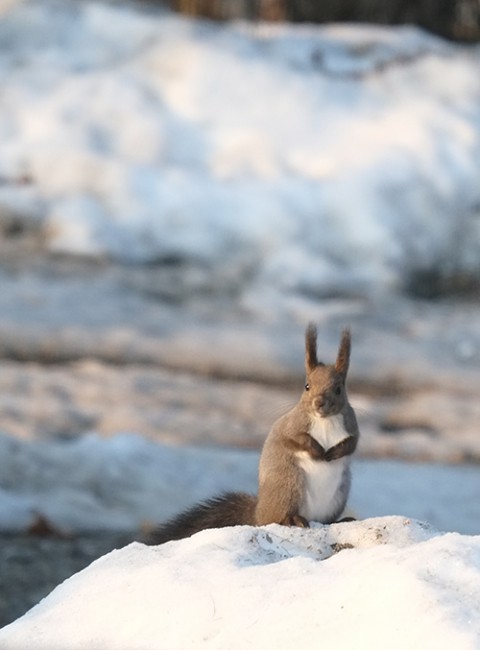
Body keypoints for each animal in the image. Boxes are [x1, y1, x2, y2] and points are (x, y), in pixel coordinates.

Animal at [144, 322, 358, 544]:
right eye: (307, 386)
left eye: (339, 389)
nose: (319, 403)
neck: (324, 420)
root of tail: (258, 513)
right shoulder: (289, 426)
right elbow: (295, 438)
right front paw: (317, 451)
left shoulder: (352, 426)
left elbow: (352, 443)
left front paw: (335, 452)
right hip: (288, 485)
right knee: (276, 517)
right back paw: (292, 519)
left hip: (337, 496)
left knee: (326, 520)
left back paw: (340, 520)